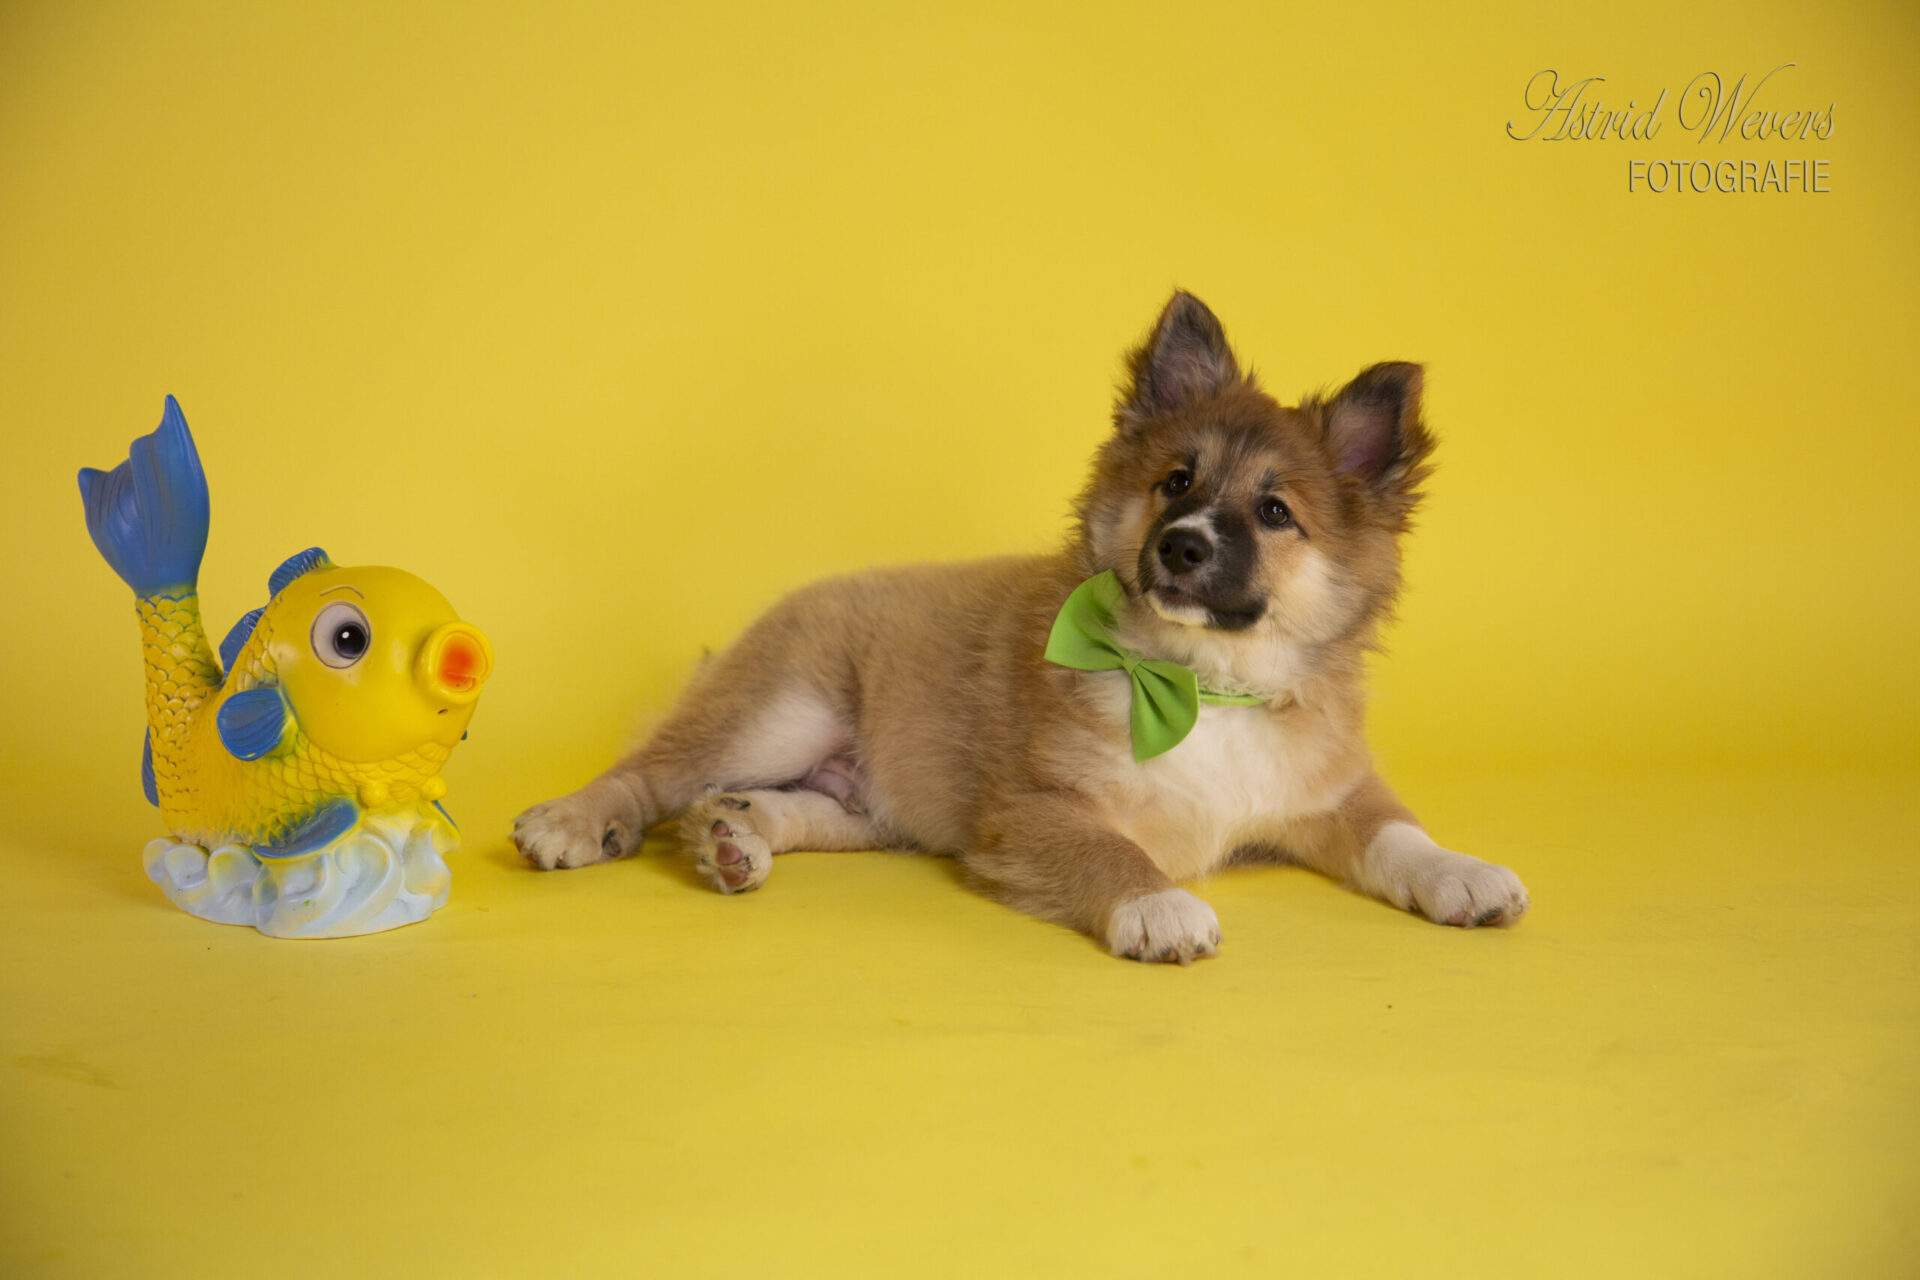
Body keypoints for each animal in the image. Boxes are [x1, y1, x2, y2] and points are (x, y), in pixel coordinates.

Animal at [510, 293, 1528, 959]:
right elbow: (1111, 848)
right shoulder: (1036, 809)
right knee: (652, 772)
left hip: (869, 804)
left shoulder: (1327, 791)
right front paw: (1156, 906)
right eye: (1175, 483)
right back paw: (576, 821)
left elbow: (1398, 832)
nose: (1182, 547)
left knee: (783, 805)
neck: (1205, 686)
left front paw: (1461, 872)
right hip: (780, 713)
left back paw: (734, 838)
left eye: (1276, 513)